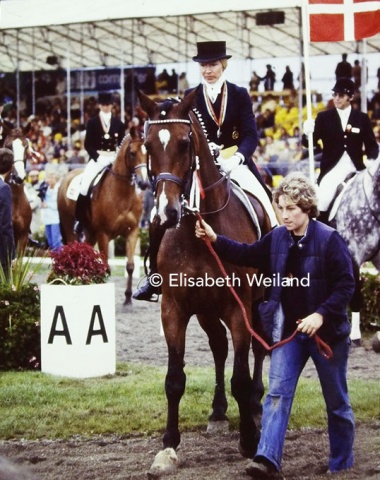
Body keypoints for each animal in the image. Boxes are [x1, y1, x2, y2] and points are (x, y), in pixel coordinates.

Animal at [57, 125, 148, 302]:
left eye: (149, 152)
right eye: (132, 153)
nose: (144, 183)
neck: (121, 194)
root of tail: (67, 176)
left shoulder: (132, 232)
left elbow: (130, 266)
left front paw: (128, 298)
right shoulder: (103, 234)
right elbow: (106, 267)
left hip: (90, 233)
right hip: (70, 226)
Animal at [138, 88, 272, 474]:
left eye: (185, 144)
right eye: (147, 144)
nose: (167, 212)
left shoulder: (239, 308)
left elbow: (241, 376)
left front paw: (249, 440)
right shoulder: (174, 308)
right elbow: (174, 380)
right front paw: (168, 447)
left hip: (257, 302)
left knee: (258, 349)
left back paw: (255, 406)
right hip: (206, 310)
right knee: (218, 347)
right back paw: (217, 413)